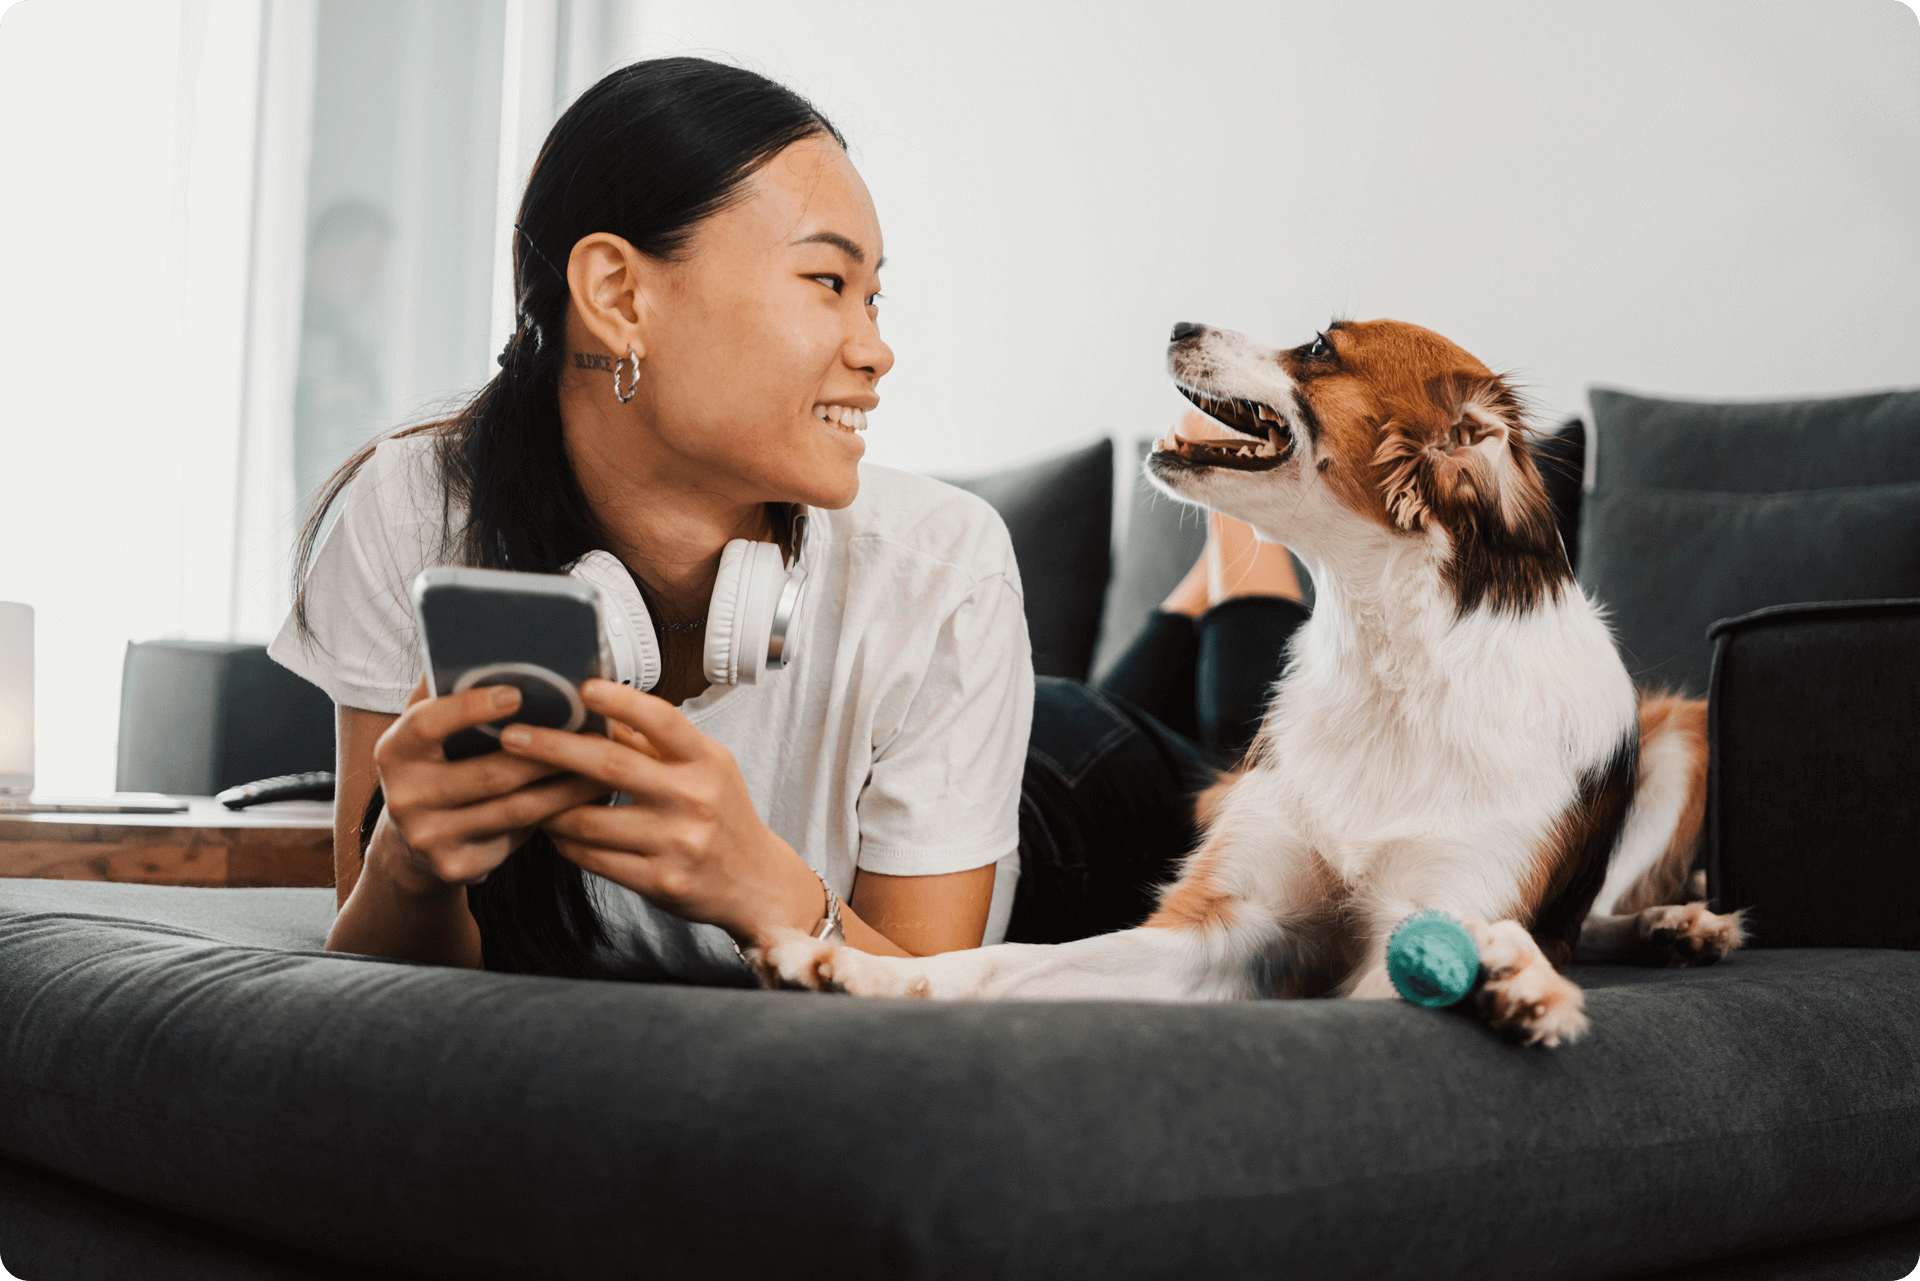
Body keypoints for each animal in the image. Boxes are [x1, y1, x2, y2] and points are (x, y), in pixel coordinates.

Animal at [760, 318, 1743, 1044]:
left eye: (1318, 347)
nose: (1179, 322)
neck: (1390, 653)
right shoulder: (1224, 926)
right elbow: (1002, 962)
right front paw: (863, 967)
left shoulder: (1428, 913)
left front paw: (1512, 979)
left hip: (1683, 737)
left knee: (1593, 915)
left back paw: (1663, 929)